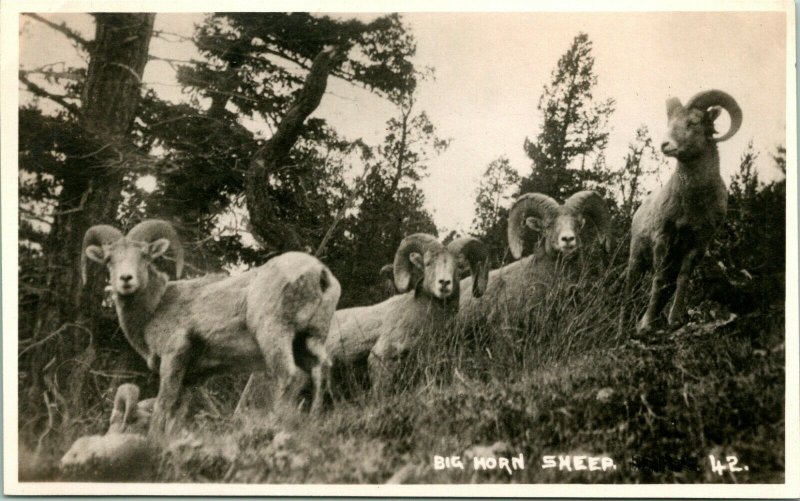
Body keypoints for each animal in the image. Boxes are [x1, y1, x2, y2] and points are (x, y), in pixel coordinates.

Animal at [83, 218, 340, 422]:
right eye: (109, 259)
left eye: (144, 255)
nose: (126, 279)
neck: (156, 307)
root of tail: (318, 273)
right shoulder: (191, 378)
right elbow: (176, 416)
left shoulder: (172, 359)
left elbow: (162, 407)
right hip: (310, 340)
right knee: (321, 373)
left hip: (275, 335)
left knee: (290, 377)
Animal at [624, 90, 744, 332]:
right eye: (670, 122)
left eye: (693, 122)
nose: (665, 145)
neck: (692, 204)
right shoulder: (663, 238)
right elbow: (659, 280)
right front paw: (646, 324)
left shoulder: (698, 244)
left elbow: (682, 279)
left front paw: (674, 320)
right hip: (636, 258)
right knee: (633, 285)